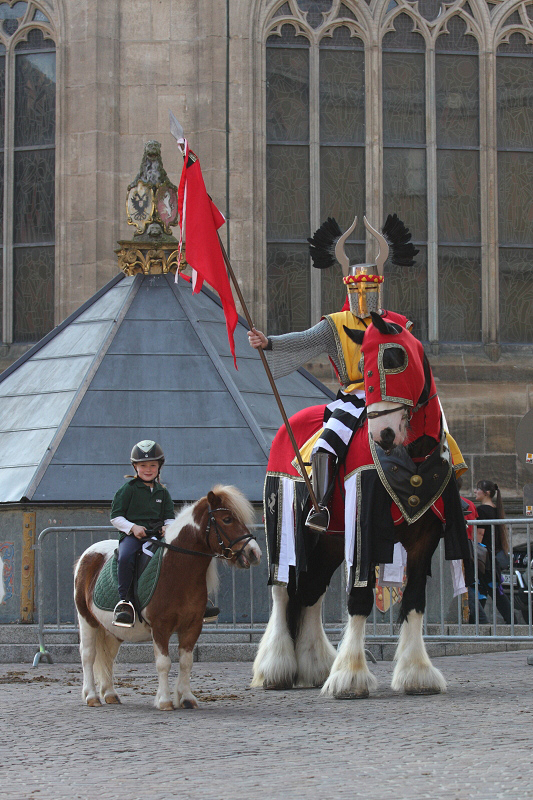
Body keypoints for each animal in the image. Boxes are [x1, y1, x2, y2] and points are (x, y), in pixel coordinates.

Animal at [74, 484, 260, 708]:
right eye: (227, 519)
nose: (254, 553)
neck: (176, 571)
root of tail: (88, 554)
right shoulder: (160, 627)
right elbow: (164, 663)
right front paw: (164, 700)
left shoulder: (192, 626)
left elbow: (186, 662)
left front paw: (186, 698)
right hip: (87, 619)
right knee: (88, 655)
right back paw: (92, 696)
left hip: (112, 628)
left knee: (108, 656)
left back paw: (110, 694)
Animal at [251, 310, 472, 696]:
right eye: (365, 368)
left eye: (395, 358)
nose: (383, 434)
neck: (412, 455)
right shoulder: (363, 530)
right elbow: (360, 598)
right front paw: (350, 676)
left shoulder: (425, 537)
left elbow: (414, 600)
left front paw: (416, 672)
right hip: (287, 526)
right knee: (283, 591)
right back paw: (276, 667)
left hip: (330, 541)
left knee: (311, 592)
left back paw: (313, 665)